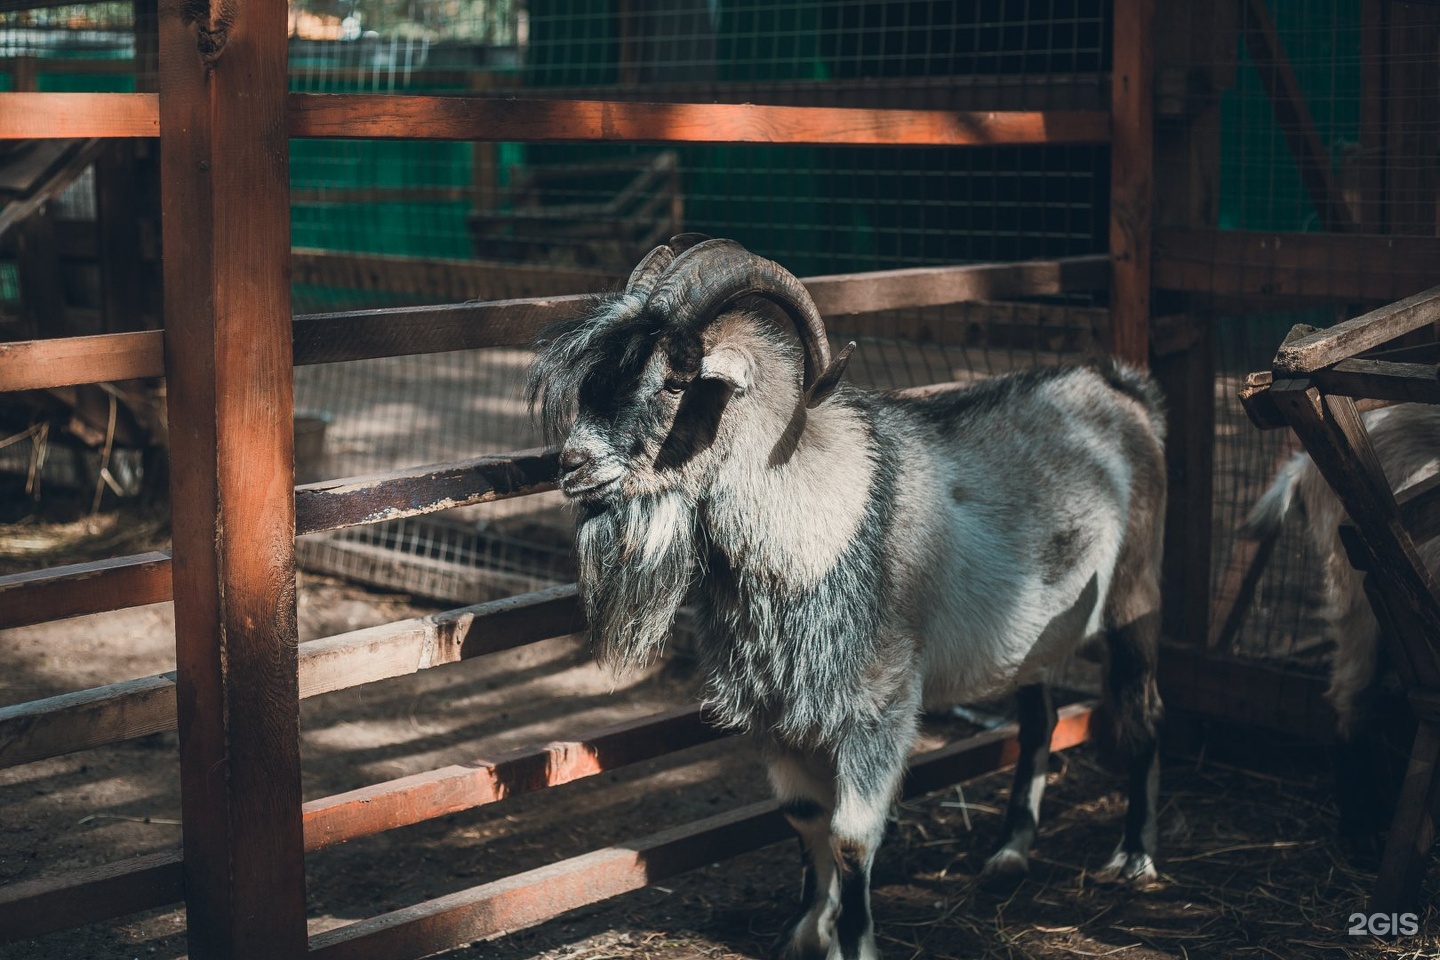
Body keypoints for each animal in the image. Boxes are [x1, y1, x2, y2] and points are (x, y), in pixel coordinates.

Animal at [529, 234, 1169, 960]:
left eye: (675, 378)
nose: (573, 465)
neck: (821, 515)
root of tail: (1126, 392)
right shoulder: (778, 713)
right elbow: (805, 818)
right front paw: (806, 929)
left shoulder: (878, 708)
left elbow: (851, 837)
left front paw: (854, 941)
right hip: (1029, 636)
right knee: (1039, 721)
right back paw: (1009, 853)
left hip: (1134, 598)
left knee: (1146, 711)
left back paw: (1135, 857)